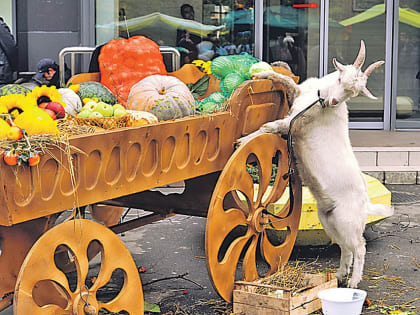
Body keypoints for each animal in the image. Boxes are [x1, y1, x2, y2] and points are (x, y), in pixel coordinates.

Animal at [238, 40, 392, 288]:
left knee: (359, 247)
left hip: (347, 221)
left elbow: (269, 127)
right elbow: (285, 81)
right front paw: (261, 73)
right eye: (340, 79)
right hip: (329, 219)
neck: (318, 98)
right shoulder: (297, 96)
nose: (333, 102)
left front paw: (242, 141)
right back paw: (340, 275)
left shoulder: (294, 123)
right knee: (345, 247)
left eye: (354, 93)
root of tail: (365, 202)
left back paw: (353, 281)